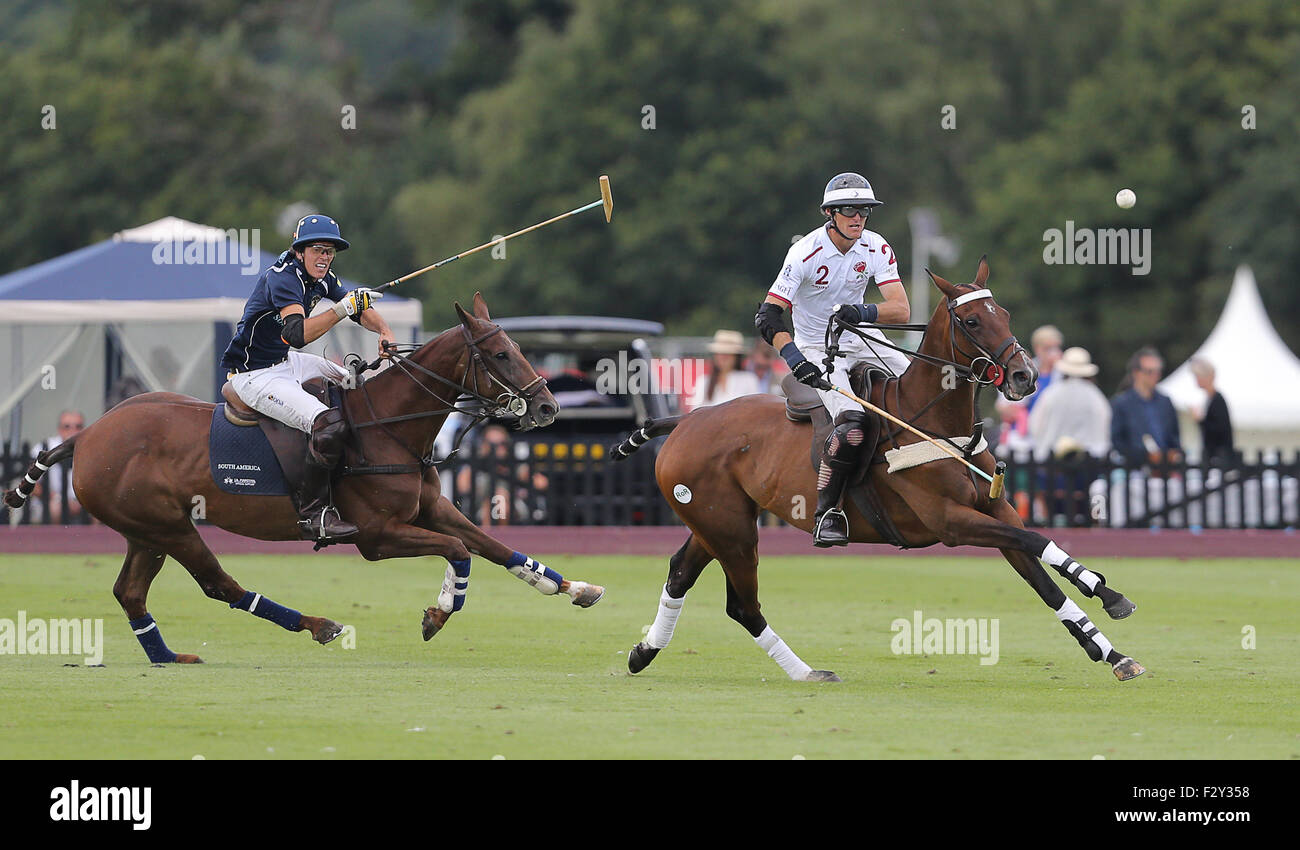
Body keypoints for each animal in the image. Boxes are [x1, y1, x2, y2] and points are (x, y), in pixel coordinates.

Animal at [3, 295, 603, 665]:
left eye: (520, 348)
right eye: (501, 352)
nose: (548, 407)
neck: (388, 426)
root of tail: (87, 435)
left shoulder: (430, 509)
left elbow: (494, 545)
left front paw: (573, 587)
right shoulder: (376, 536)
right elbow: (459, 550)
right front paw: (438, 612)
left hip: (143, 530)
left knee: (130, 591)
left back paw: (168, 657)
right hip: (167, 526)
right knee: (219, 585)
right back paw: (317, 624)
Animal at [613, 259, 1144, 686]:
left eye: (1006, 314)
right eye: (972, 320)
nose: (1025, 376)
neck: (934, 422)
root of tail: (688, 419)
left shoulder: (995, 510)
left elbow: (1042, 573)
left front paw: (1112, 648)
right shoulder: (950, 522)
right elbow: (1036, 540)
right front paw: (1107, 591)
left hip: (717, 521)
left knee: (681, 573)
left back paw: (644, 652)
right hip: (730, 528)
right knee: (742, 604)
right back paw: (807, 672)